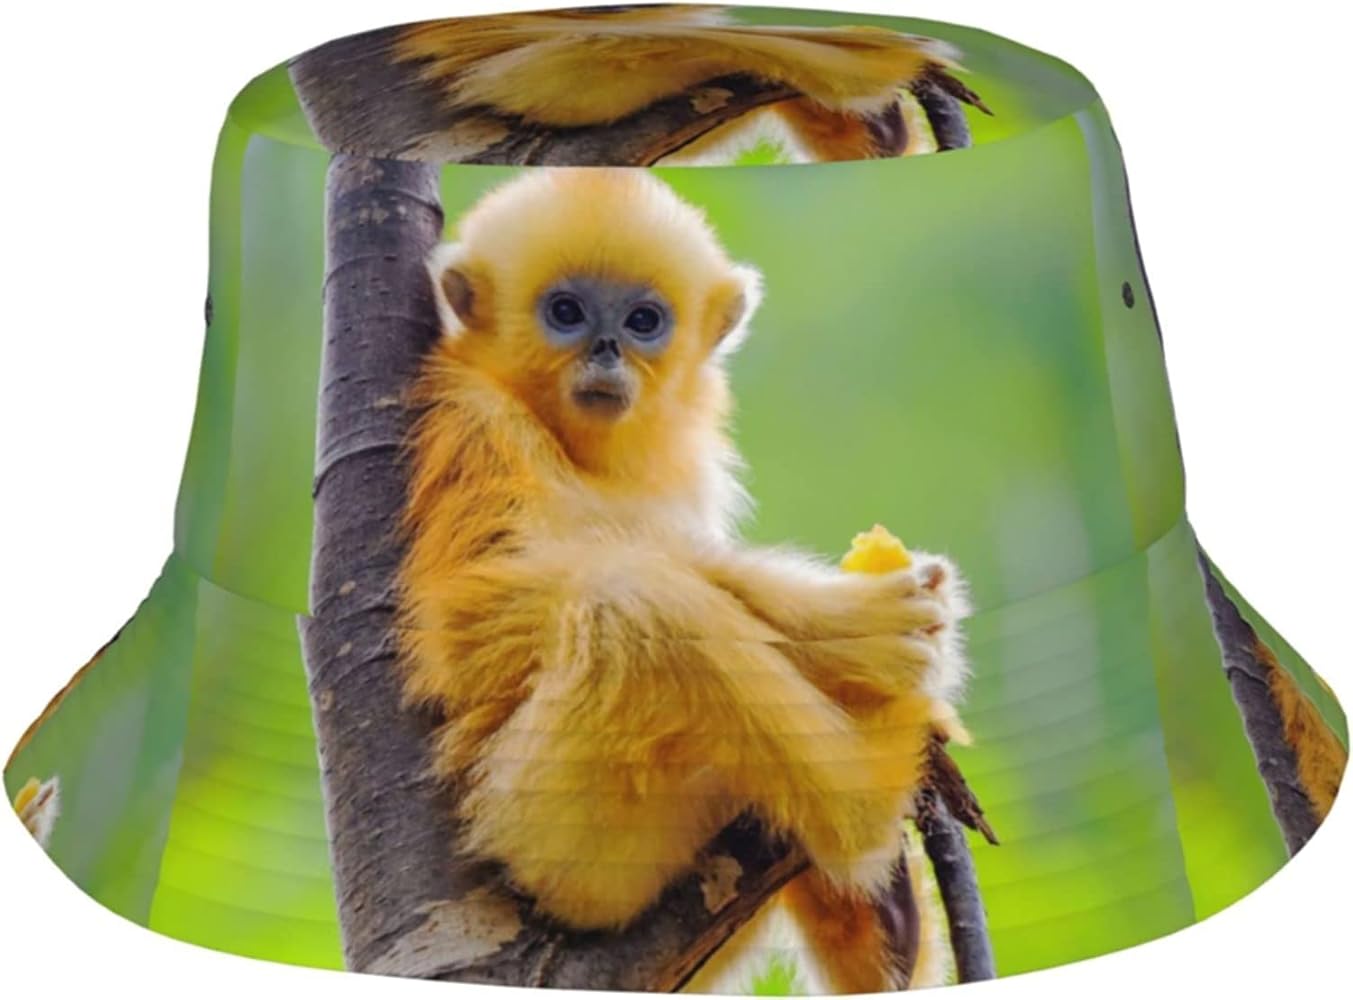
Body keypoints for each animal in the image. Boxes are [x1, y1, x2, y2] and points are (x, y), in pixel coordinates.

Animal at [396, 168, 971, 992]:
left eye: (643, 321)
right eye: (566, 313)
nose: (606, 349)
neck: (587, 451)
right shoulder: (476, 424)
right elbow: (476, 611)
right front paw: (837, 620)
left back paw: (887, 918)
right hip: (546, 841)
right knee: (632, 604)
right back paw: (868, 799)